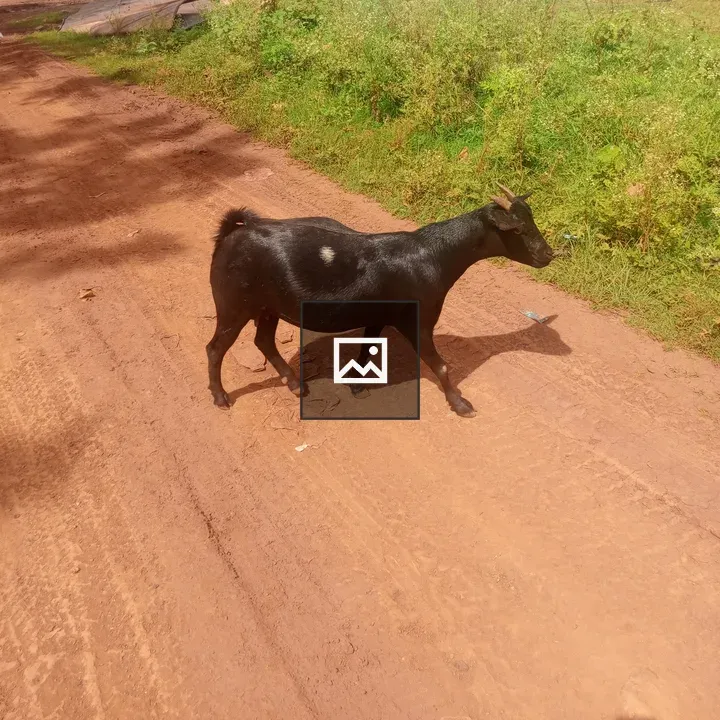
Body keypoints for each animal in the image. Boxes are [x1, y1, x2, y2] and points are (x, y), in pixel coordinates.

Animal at [206, 184, 555, 417]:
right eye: (518, 229)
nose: (548, 254)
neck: (433, 255)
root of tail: (232, 232)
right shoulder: (418, 319)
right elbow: (440, 364)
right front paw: (460, 403)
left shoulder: (378, 315)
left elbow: (366, 349)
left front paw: (357, 385)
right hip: (233, 302)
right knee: (215, 348)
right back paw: (221, 397)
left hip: (268, 306)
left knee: (263, 341)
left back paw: (294, 385)